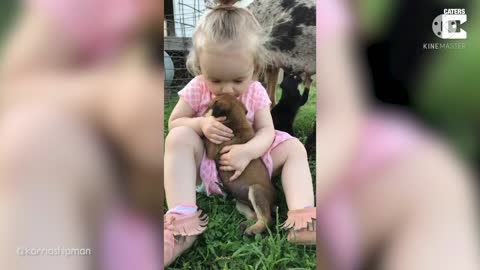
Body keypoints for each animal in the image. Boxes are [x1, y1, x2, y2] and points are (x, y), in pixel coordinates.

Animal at [204, 94, 276, 235]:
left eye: (210, 104)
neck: (236, 123)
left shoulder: (211, 147)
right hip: (240, 203)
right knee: (254, 215)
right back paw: (245, 226)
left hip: (256, 191)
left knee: (266, 219)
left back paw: (253, 230)